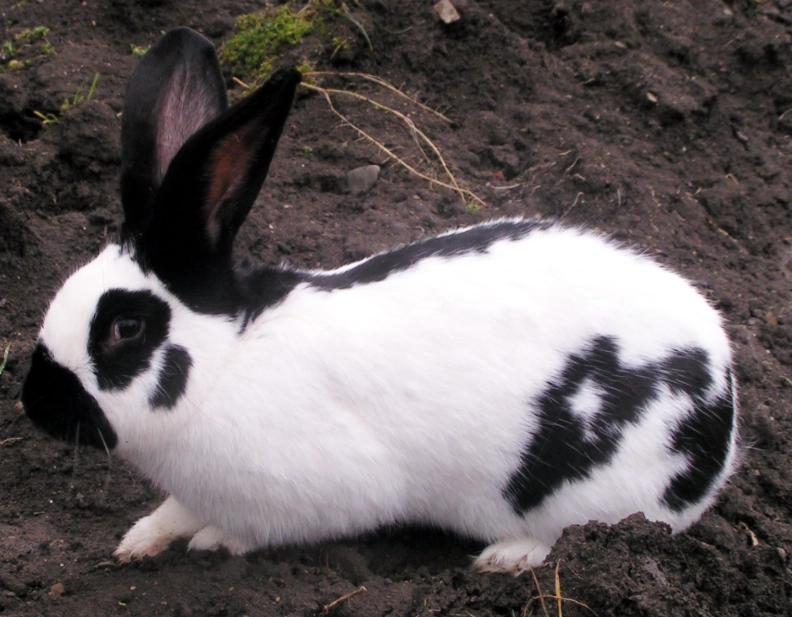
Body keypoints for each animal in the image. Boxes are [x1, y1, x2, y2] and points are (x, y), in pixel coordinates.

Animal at [20, 27, 739, 574]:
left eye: (126, 328)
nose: (34, 404)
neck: (226, 361)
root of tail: (725, 405)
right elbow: (173, 511)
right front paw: (138, 540)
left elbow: (251, 528)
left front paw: (213, 541)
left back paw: (506, 557)